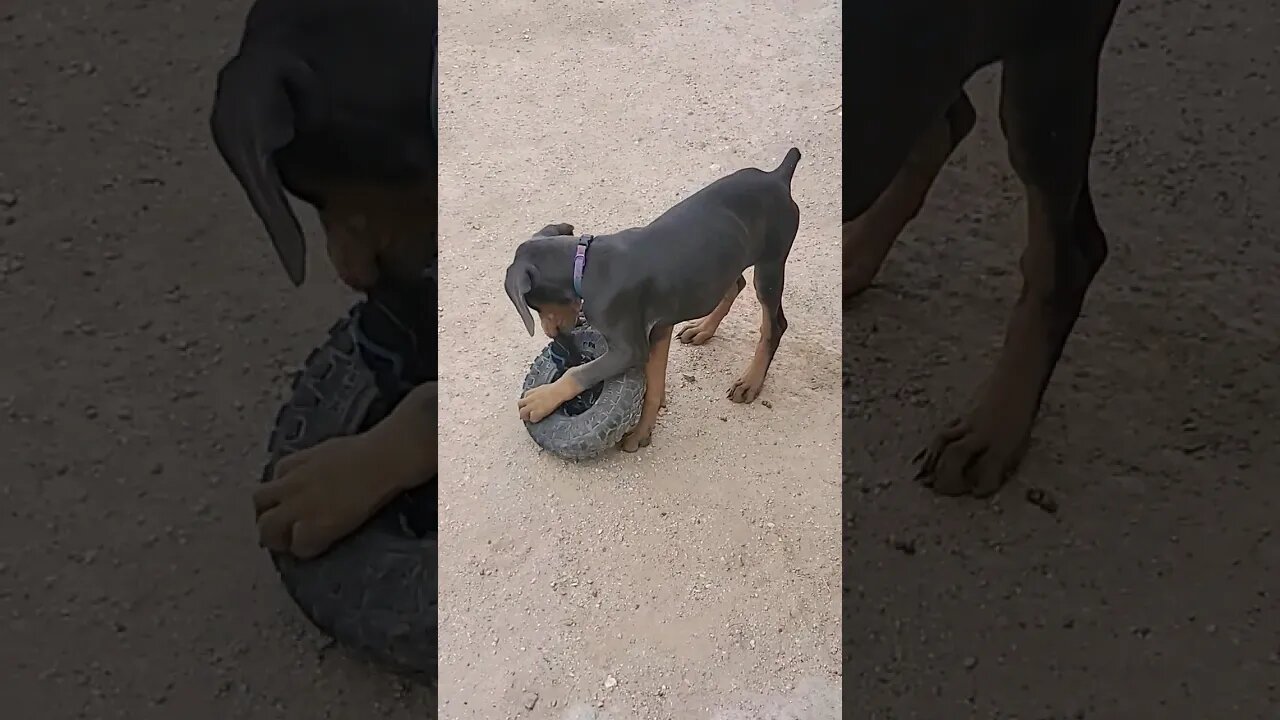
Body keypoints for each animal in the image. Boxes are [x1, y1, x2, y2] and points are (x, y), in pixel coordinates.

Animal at [506, 147, 798, 448]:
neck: (585, 265)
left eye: (534, 305)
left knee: (774, 326)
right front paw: (643, 430)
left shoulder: (630, 348)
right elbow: (654, 384)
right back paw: (703, 329)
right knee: (735, 284)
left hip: (770, 265)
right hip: (724, 260)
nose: (554, 338)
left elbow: (581, 372)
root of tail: (776, 176)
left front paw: (541, 399)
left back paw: (751, 381)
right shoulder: (659, 327)